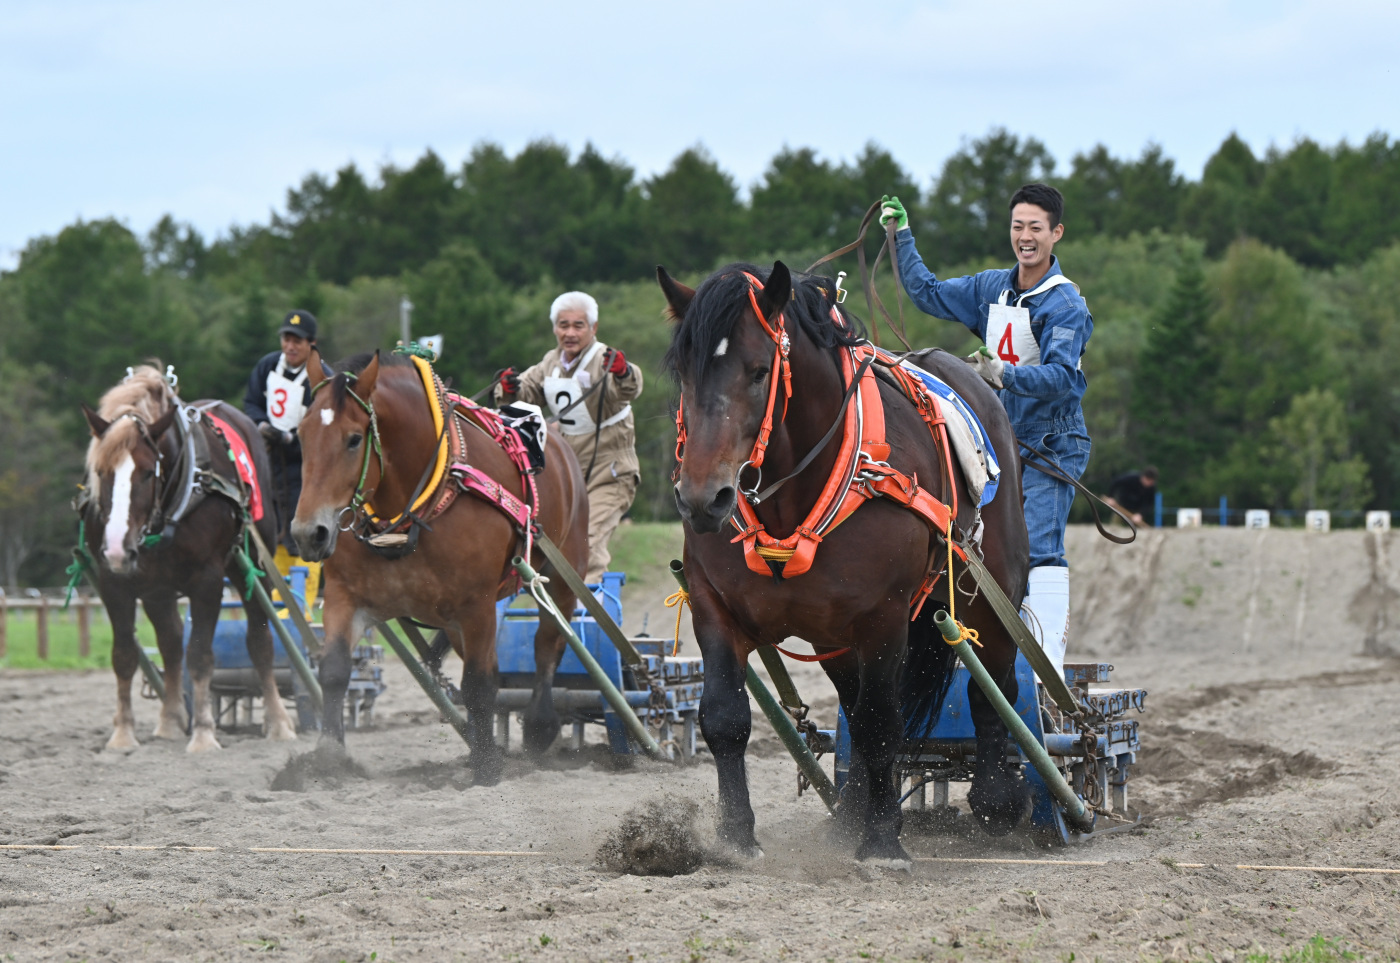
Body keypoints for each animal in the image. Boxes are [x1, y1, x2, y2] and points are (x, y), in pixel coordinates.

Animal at [78, 364, 297, 752]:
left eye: (147, 472)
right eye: (102, 472)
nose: (117, 547)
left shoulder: (207, 581)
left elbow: (200, 656)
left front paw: (204, 734)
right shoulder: (114, 583)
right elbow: (125, 656)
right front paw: (122, 734)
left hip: (254, 566)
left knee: (260, 642)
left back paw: (278, 722)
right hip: (158, 588)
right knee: (170, 644)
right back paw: (169, 720)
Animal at [291, 350, 589, 784]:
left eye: (353, 439)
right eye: (301, 434)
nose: (307, 533)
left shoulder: (478, 604)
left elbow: (479, 683)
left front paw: (486, 768)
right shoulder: (346, 598)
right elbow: (333, 671)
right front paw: (328, 760)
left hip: (563, 578)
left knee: (547, 645)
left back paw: (538, 724)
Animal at [658, 261, 1031, 866]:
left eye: (760, 372)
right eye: (685, 376)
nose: (701, 498)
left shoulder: (884, 617)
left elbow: (883, 725)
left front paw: (881, 841)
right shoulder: (715, 608)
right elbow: (725, 719)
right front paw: (736, 835)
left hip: (989, 590)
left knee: (993, 684)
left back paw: (997, 798)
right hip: (833, 635)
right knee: (856, 708)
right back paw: (853, 807)